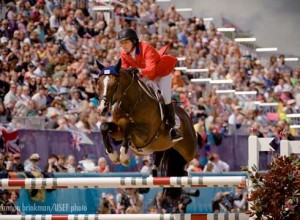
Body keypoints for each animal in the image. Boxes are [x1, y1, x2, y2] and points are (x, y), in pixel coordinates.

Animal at [97, 59, 198, 199]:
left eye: (115, 84)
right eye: (98, 83)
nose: (102, 109)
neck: (130, 103)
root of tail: (187, 116)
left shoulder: (145, 134)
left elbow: (127, 125)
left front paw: (123, 157)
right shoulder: (118, 132)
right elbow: (104, 127)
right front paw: (113, 156)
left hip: (189, 150)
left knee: (184, 163)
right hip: (162, 146)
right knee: (160, 156)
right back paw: (153, 177)